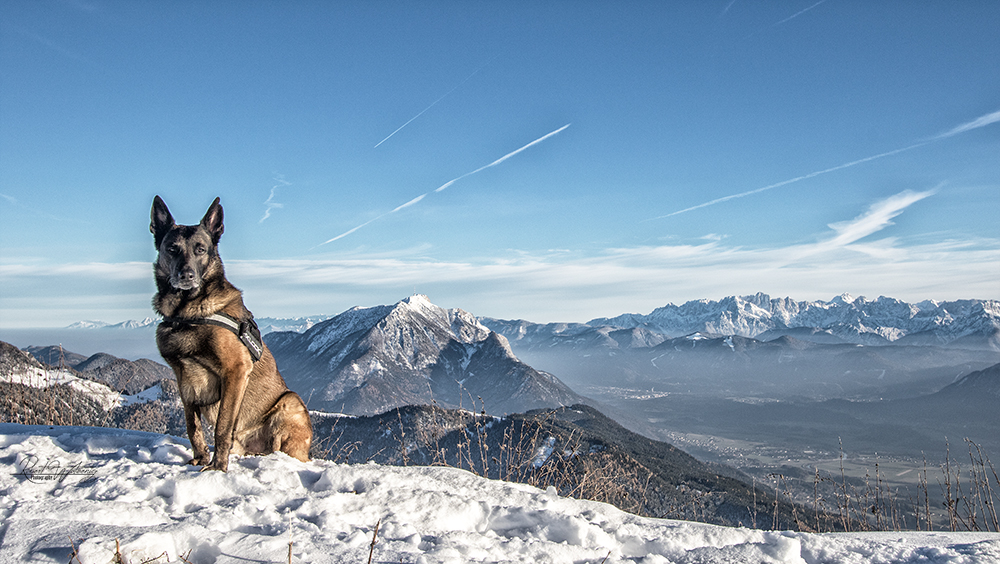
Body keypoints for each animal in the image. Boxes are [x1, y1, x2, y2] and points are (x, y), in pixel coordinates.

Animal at [149, 196, 308, 470]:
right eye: (172, 249)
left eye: (201, 249)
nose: (186, 275)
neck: (186, 314)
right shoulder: (183, 380)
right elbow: (193, 426)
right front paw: (200, 458)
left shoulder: (235, 369)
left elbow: (222, 426)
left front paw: (217, 467)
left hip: (290, 401)